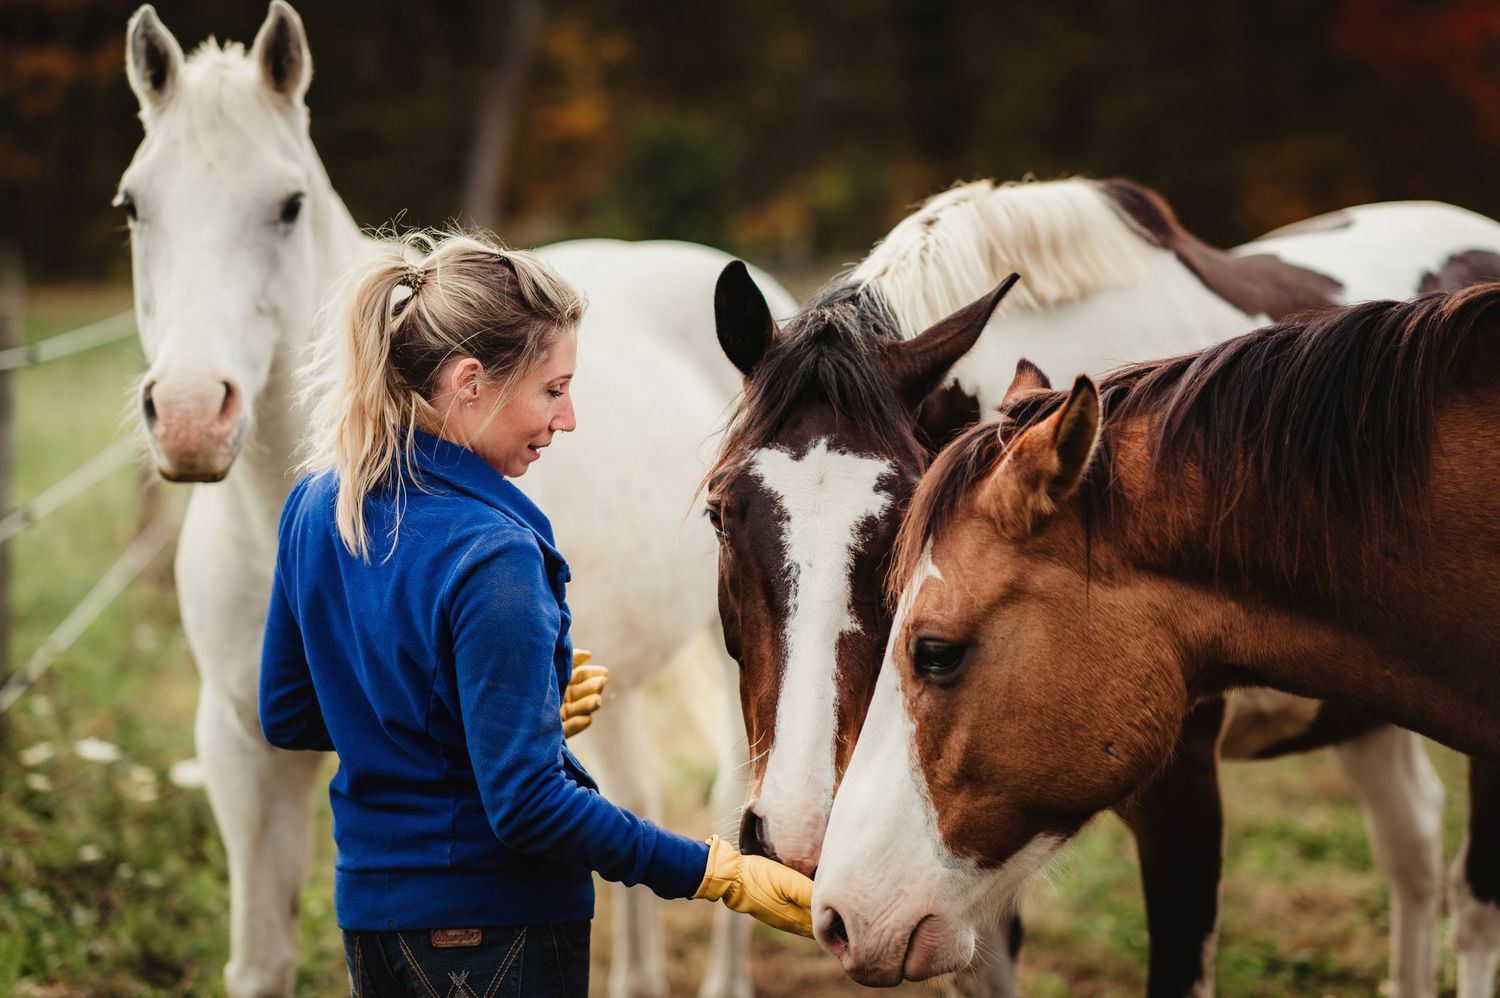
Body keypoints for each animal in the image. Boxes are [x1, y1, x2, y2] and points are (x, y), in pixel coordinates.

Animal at [707, 176, 1500, 995]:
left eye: (902, 522)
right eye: (720, 514)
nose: (797, 831)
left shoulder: (1181, 801)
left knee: (1471, 905)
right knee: (1412, 851)